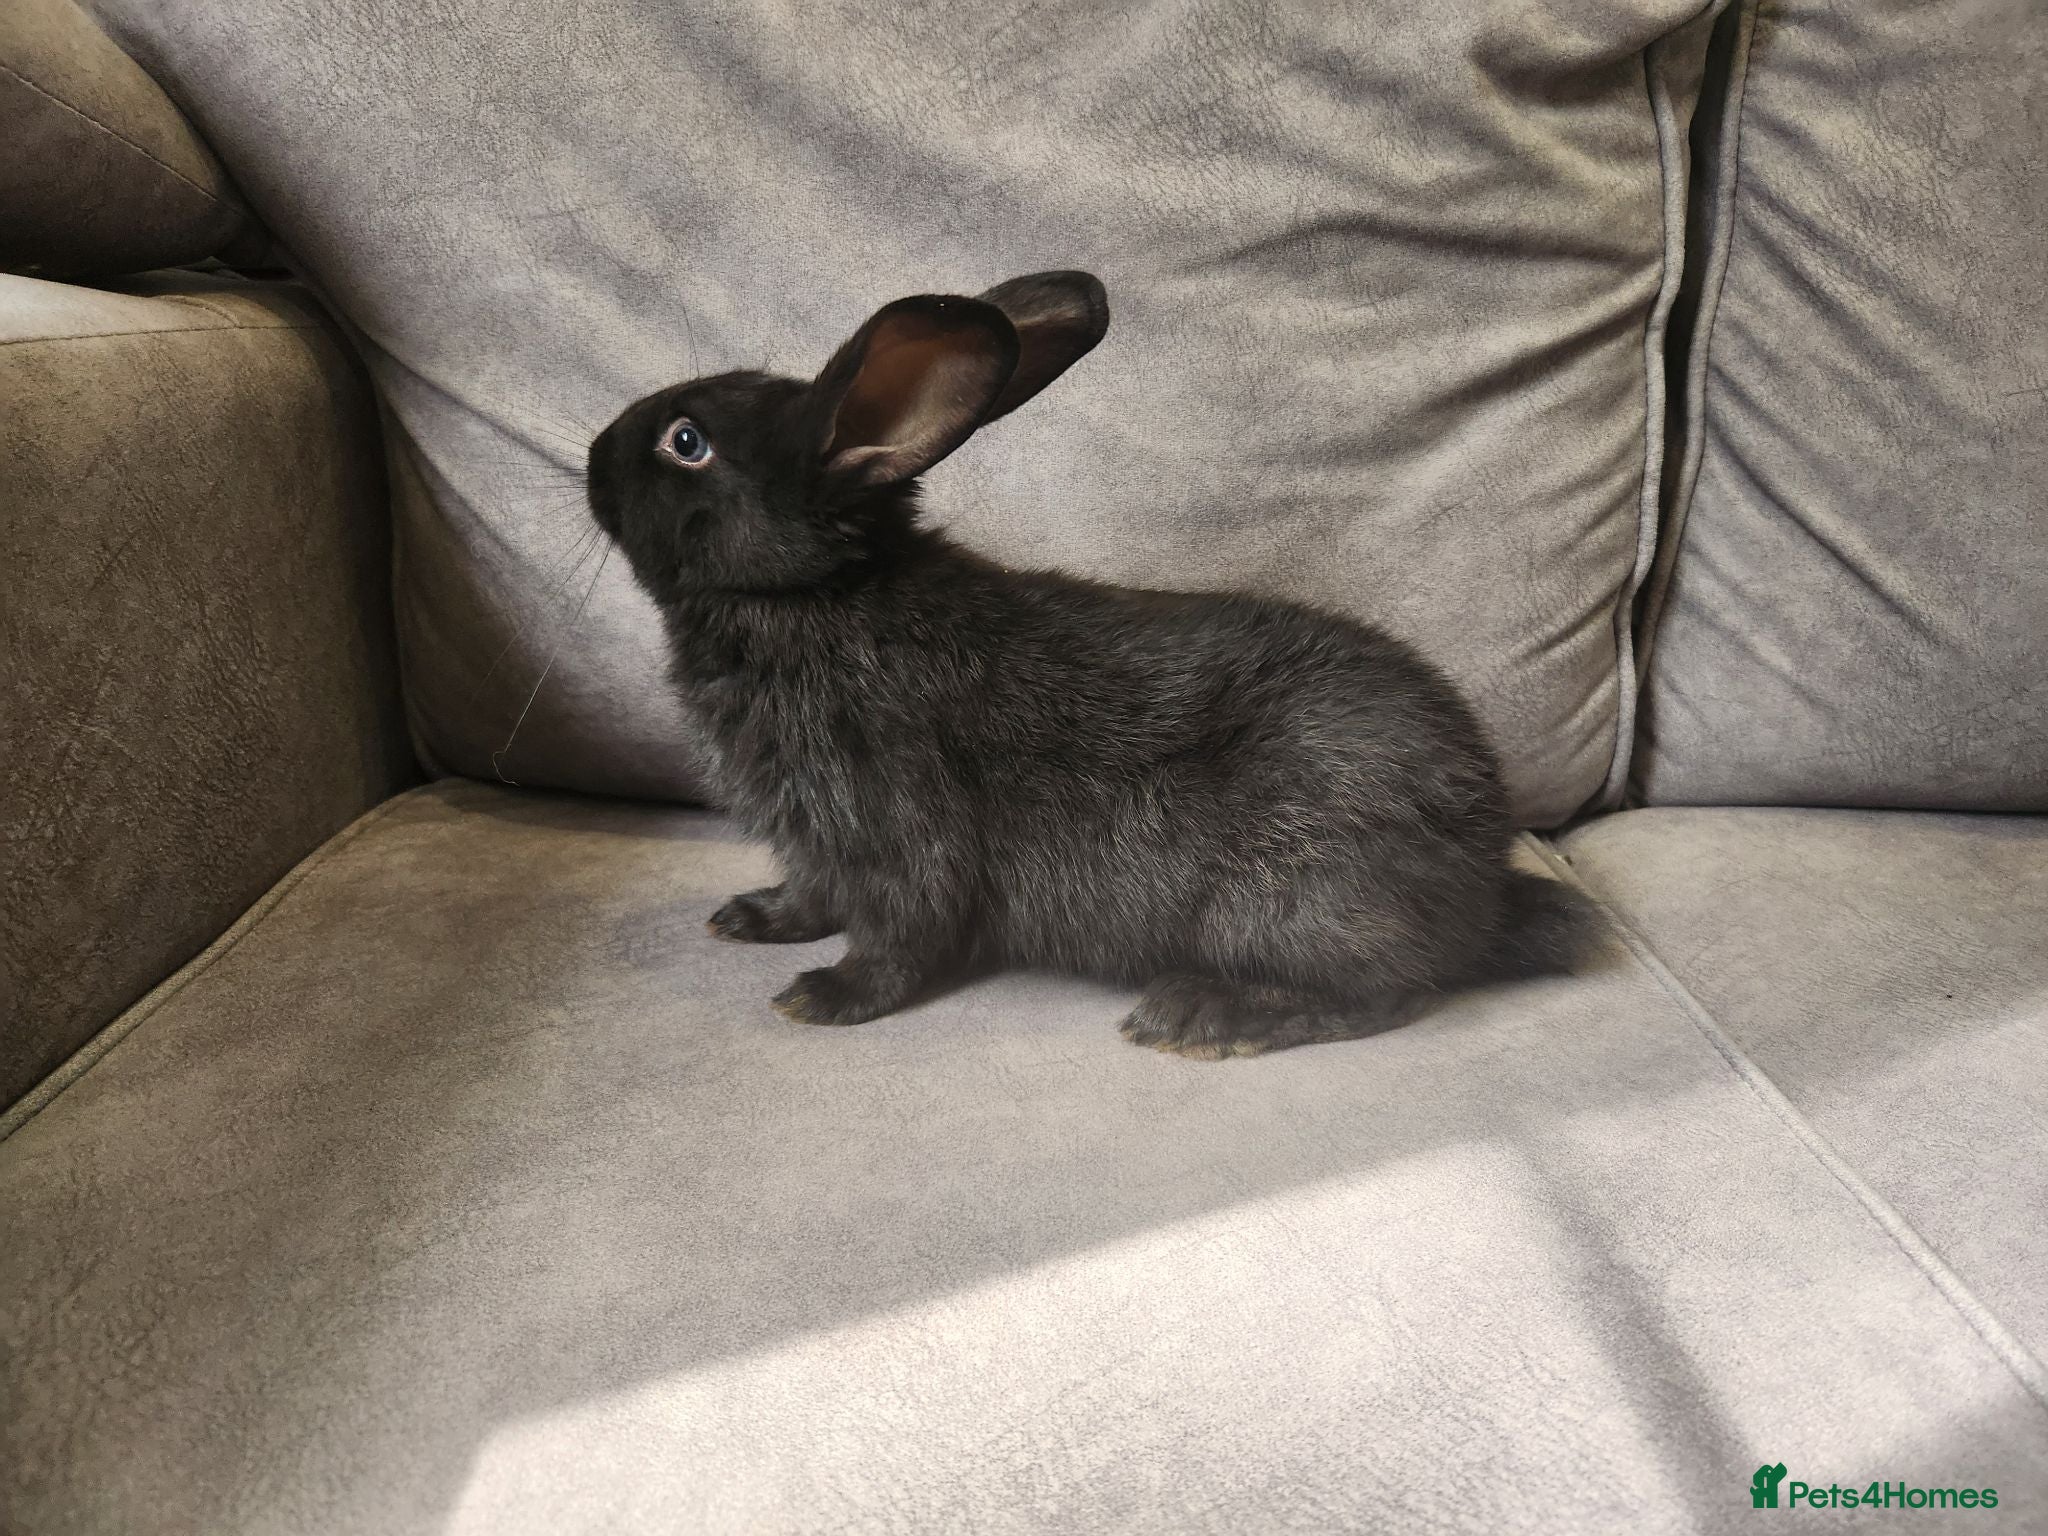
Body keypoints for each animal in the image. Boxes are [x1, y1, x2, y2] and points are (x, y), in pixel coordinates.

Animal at [586, 270, 1575, 1058]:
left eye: (686, 442)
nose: (593, 455)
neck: (811, 596)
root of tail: (1484, 870)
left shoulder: (900, 825)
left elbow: (901, 933)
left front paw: (824, 997)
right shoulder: (818, 841)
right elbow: (813, 894)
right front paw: (754, 919)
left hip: (1295, 898)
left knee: (1391, 993)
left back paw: (1201, 1016)